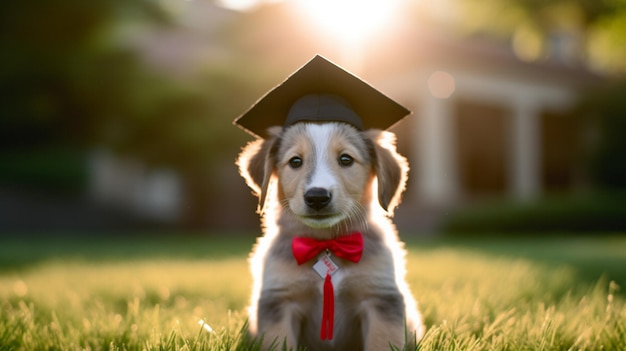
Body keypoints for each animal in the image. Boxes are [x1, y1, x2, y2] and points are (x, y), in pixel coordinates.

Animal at [236, 121, 422, 351]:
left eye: (346, 159)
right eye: (295, 161)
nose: (317, 197)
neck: (327, 244)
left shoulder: (380, 297)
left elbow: (381, 342)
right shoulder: (280, 301)